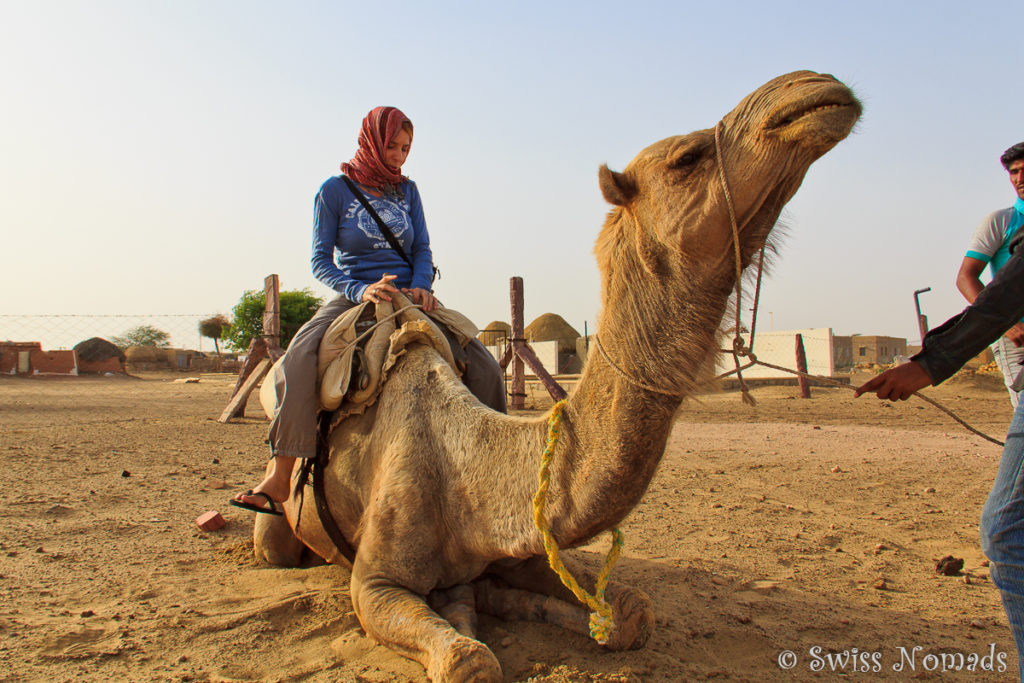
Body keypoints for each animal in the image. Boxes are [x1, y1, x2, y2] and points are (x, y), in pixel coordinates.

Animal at [251, 72, 860, 679]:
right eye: (687, 157)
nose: (813, 88)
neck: (468, 469)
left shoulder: (520, 546)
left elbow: (633, 611)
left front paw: (524, 605)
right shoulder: (375, 581)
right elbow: (468, 661)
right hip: (279, 524)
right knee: (275, 541)